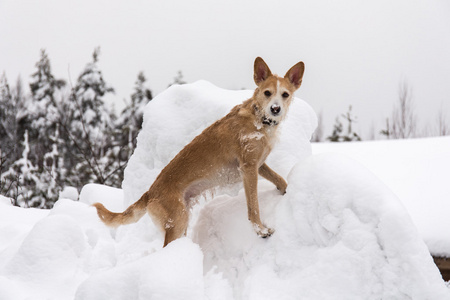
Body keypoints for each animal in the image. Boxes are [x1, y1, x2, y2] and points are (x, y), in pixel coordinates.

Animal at [93, 57, 304, 247]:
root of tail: (149, 193)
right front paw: (260, 231)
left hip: (183, 219)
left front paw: (286, 190)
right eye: (267, 93)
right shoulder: (248, 168)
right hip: (177, 222)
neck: (259, 119)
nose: (275, 109)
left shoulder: (259, 165)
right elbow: (253, 207)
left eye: (285, 94)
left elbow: (279, 178)